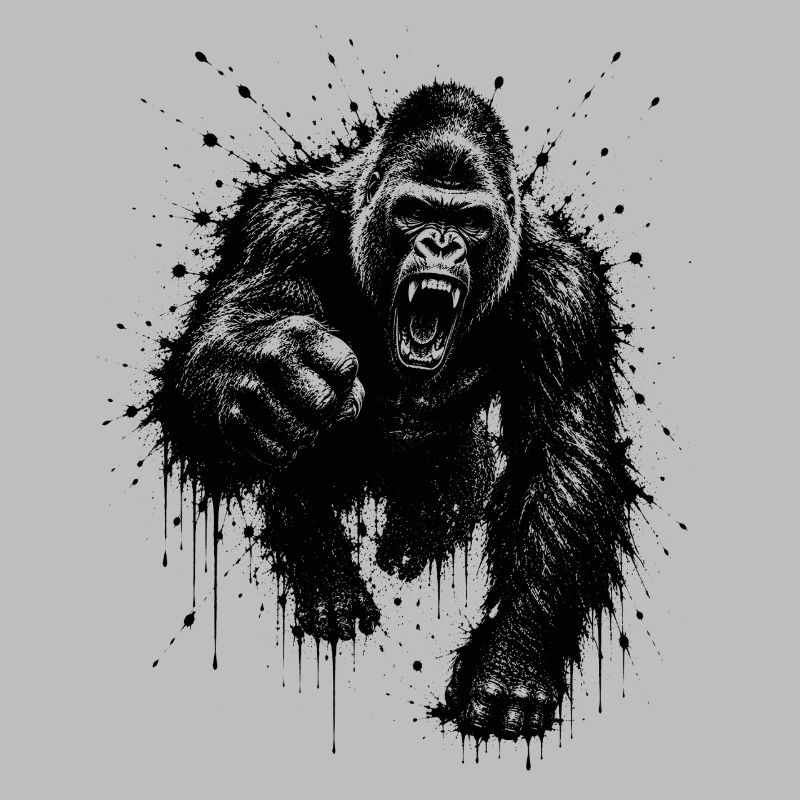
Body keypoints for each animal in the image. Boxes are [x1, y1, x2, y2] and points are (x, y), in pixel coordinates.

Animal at [155, 81, 634, 742]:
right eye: (414, 211)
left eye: (471, 221)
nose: (442, 243)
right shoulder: (282, 224)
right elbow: (216, 351)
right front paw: (263, 376)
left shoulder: (566, 296)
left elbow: (562, 461)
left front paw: (514, 655)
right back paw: (322, 572)